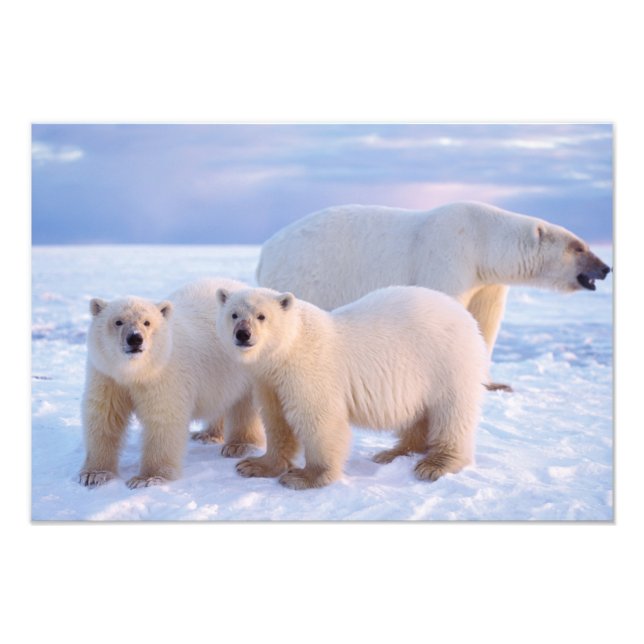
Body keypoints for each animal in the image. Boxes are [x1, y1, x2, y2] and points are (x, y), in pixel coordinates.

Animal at [79, 278, 264, 489]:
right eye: (118, 321)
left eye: (147, 322)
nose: (135, 338)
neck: (135, 371)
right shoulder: (107, 374)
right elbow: (104, 416)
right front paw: (94, 474)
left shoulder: (164, 375)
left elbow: (163, 420)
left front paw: (147, 478)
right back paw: (207, 434)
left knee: (245, 405)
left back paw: (239, 445)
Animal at [215, 284, 488, 490]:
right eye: (234, 314)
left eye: (262, 316)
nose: (243, 334)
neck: (287, 350)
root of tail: (464, 314)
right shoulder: (269, 381)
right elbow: (276, 420)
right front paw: (253, 465)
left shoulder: (309, 372)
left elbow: (320, 422)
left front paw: (304, 477)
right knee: (416, 414)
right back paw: (392, 453)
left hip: (447, 363)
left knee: (451, 413)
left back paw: (435, 464)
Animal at [256, 201, 611, 391]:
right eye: (579, 247)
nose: (606, 267)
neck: (483, 241)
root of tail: (265, 250)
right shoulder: (450, 254)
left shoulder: (486, 282)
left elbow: (485, 323)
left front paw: (494, 383)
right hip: (308, 274)